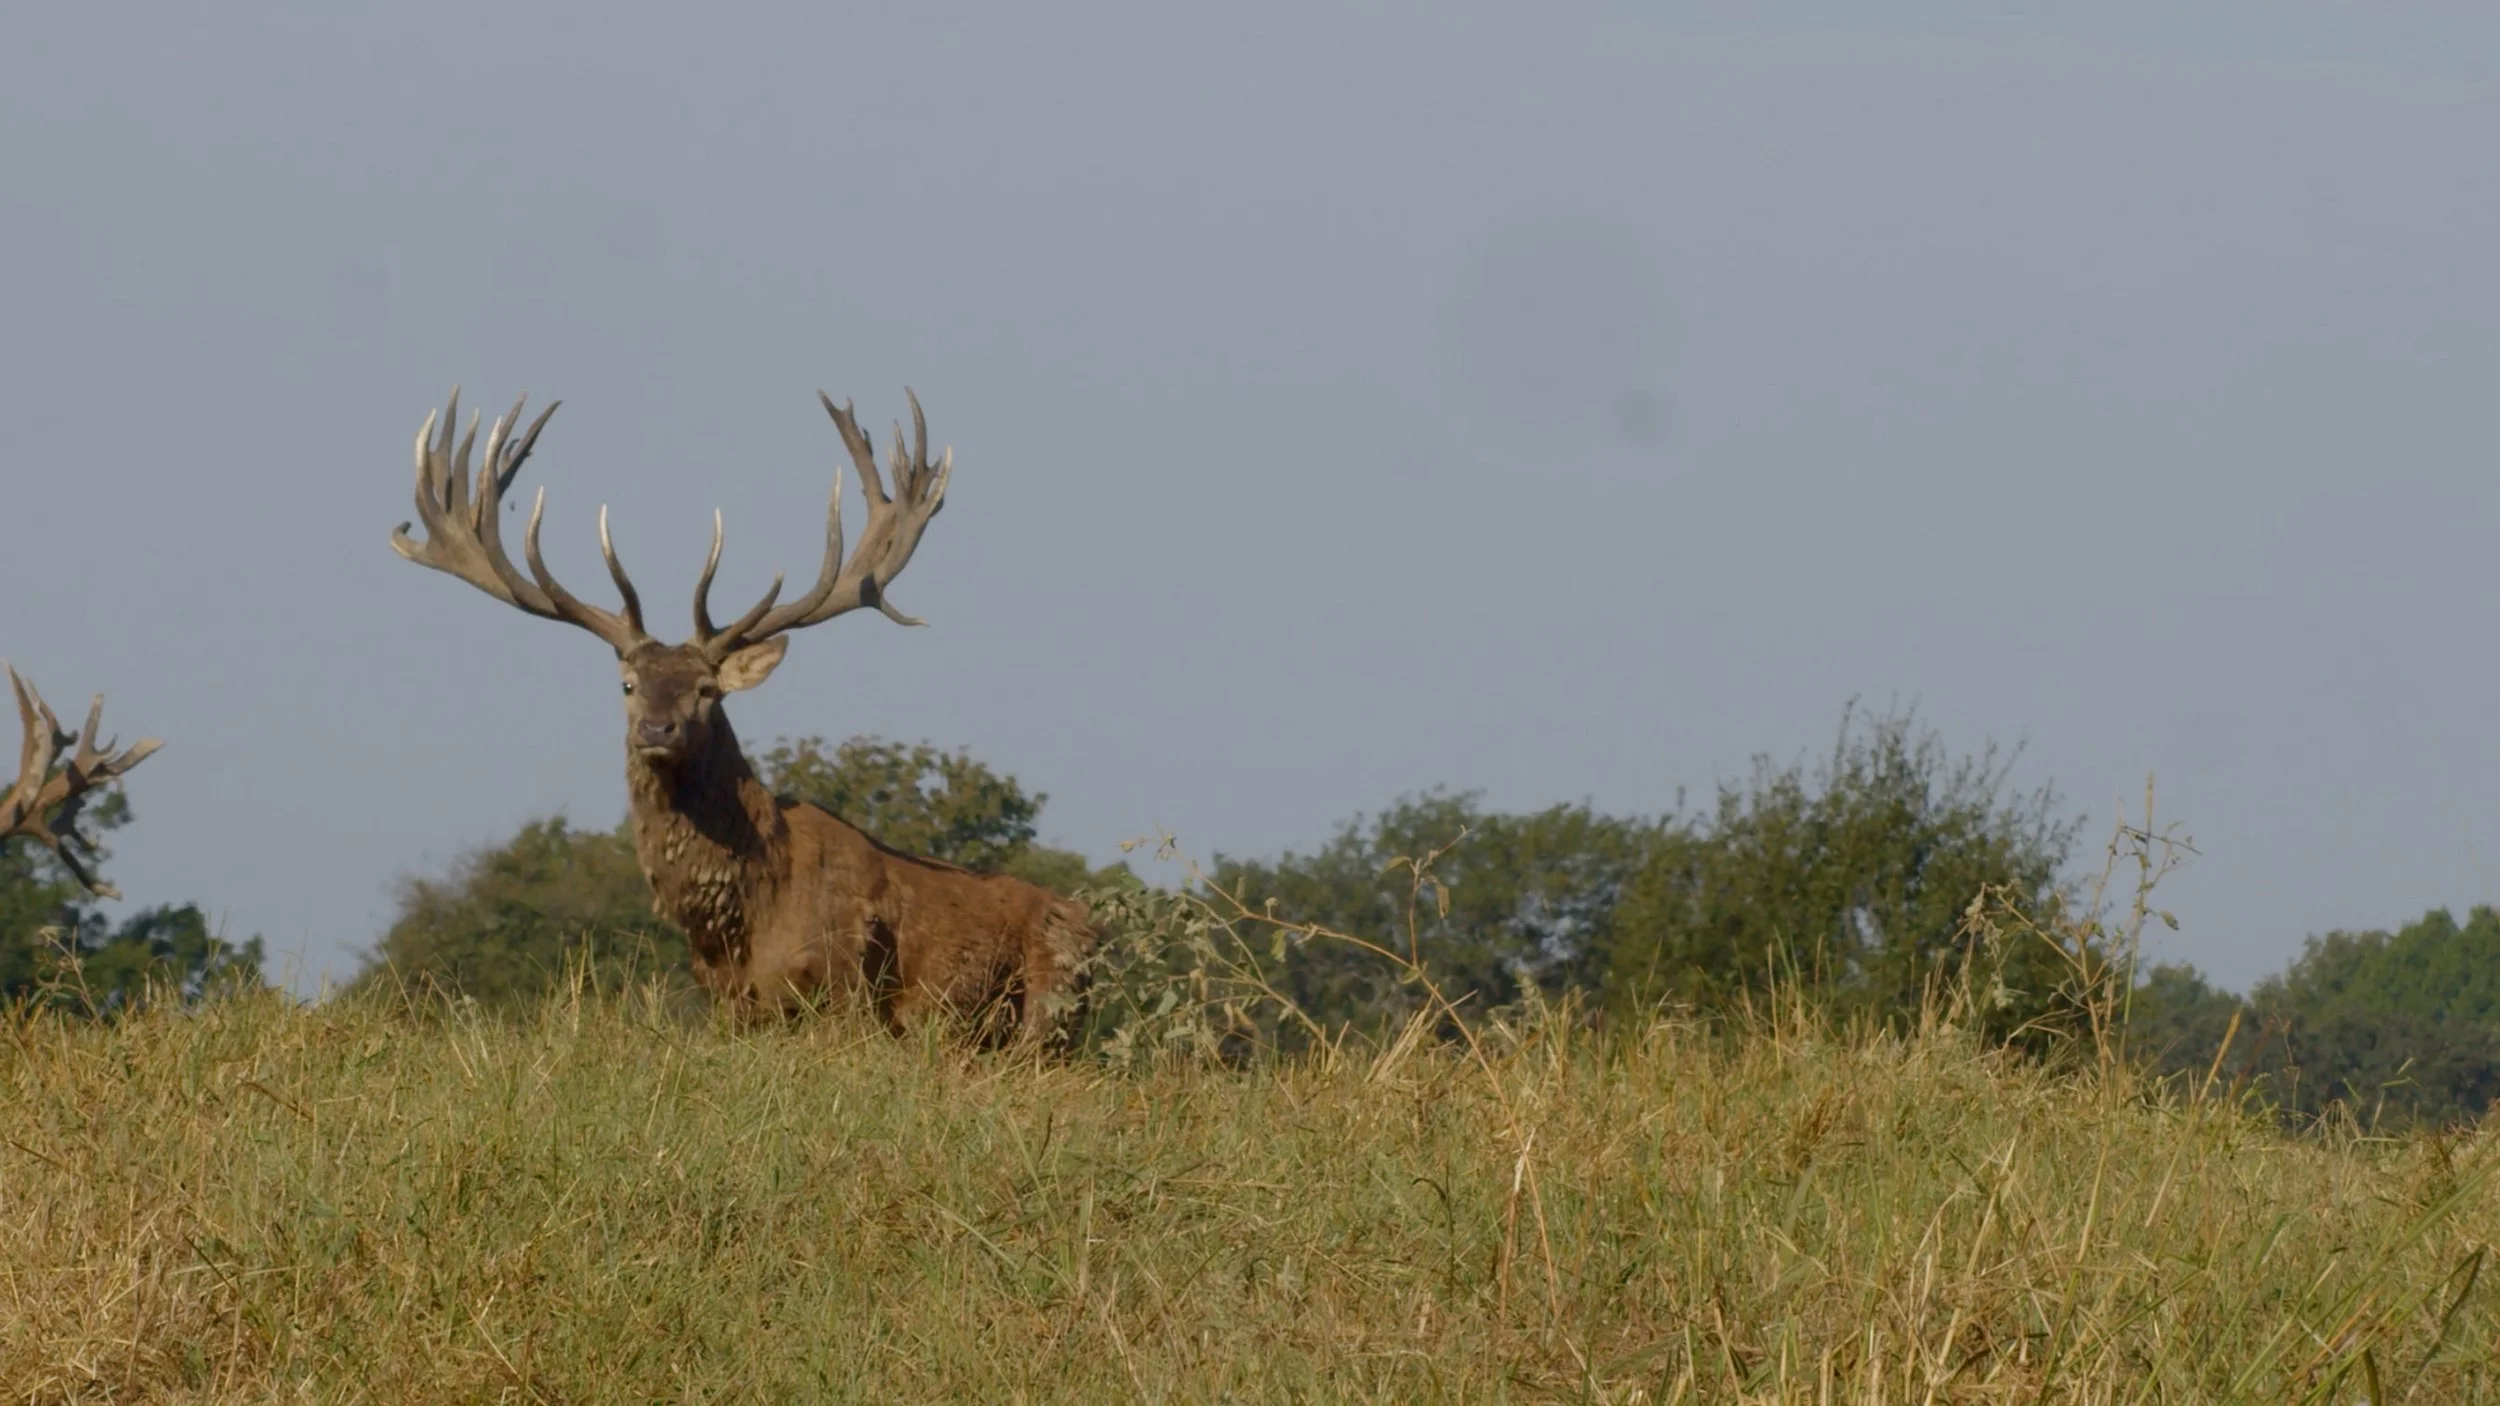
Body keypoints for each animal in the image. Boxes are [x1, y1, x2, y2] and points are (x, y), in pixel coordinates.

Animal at [387, 387, 1098, 1044]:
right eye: (627, 684)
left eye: (707, 689)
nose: (657, 730)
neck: (743, 919)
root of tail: (1094, 927)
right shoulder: (728, 1005)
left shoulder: (847, 991)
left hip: (1051, 1008)